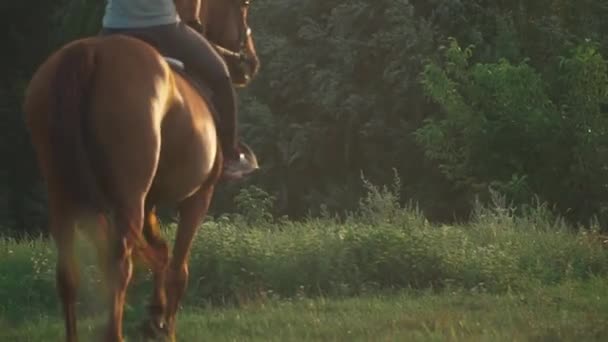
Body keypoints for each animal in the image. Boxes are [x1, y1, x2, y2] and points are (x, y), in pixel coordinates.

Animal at [21, 0, 258, 342]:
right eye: (244, 6)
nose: (250, 62)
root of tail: (91, 53)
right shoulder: (198, 197)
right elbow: (177, 268)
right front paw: (165, 327)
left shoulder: (150, 202)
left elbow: (160, 252)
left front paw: (154, 319)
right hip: (128, 199)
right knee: (119, 267)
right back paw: (116, 333)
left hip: (63, 195)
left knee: (68, 274)